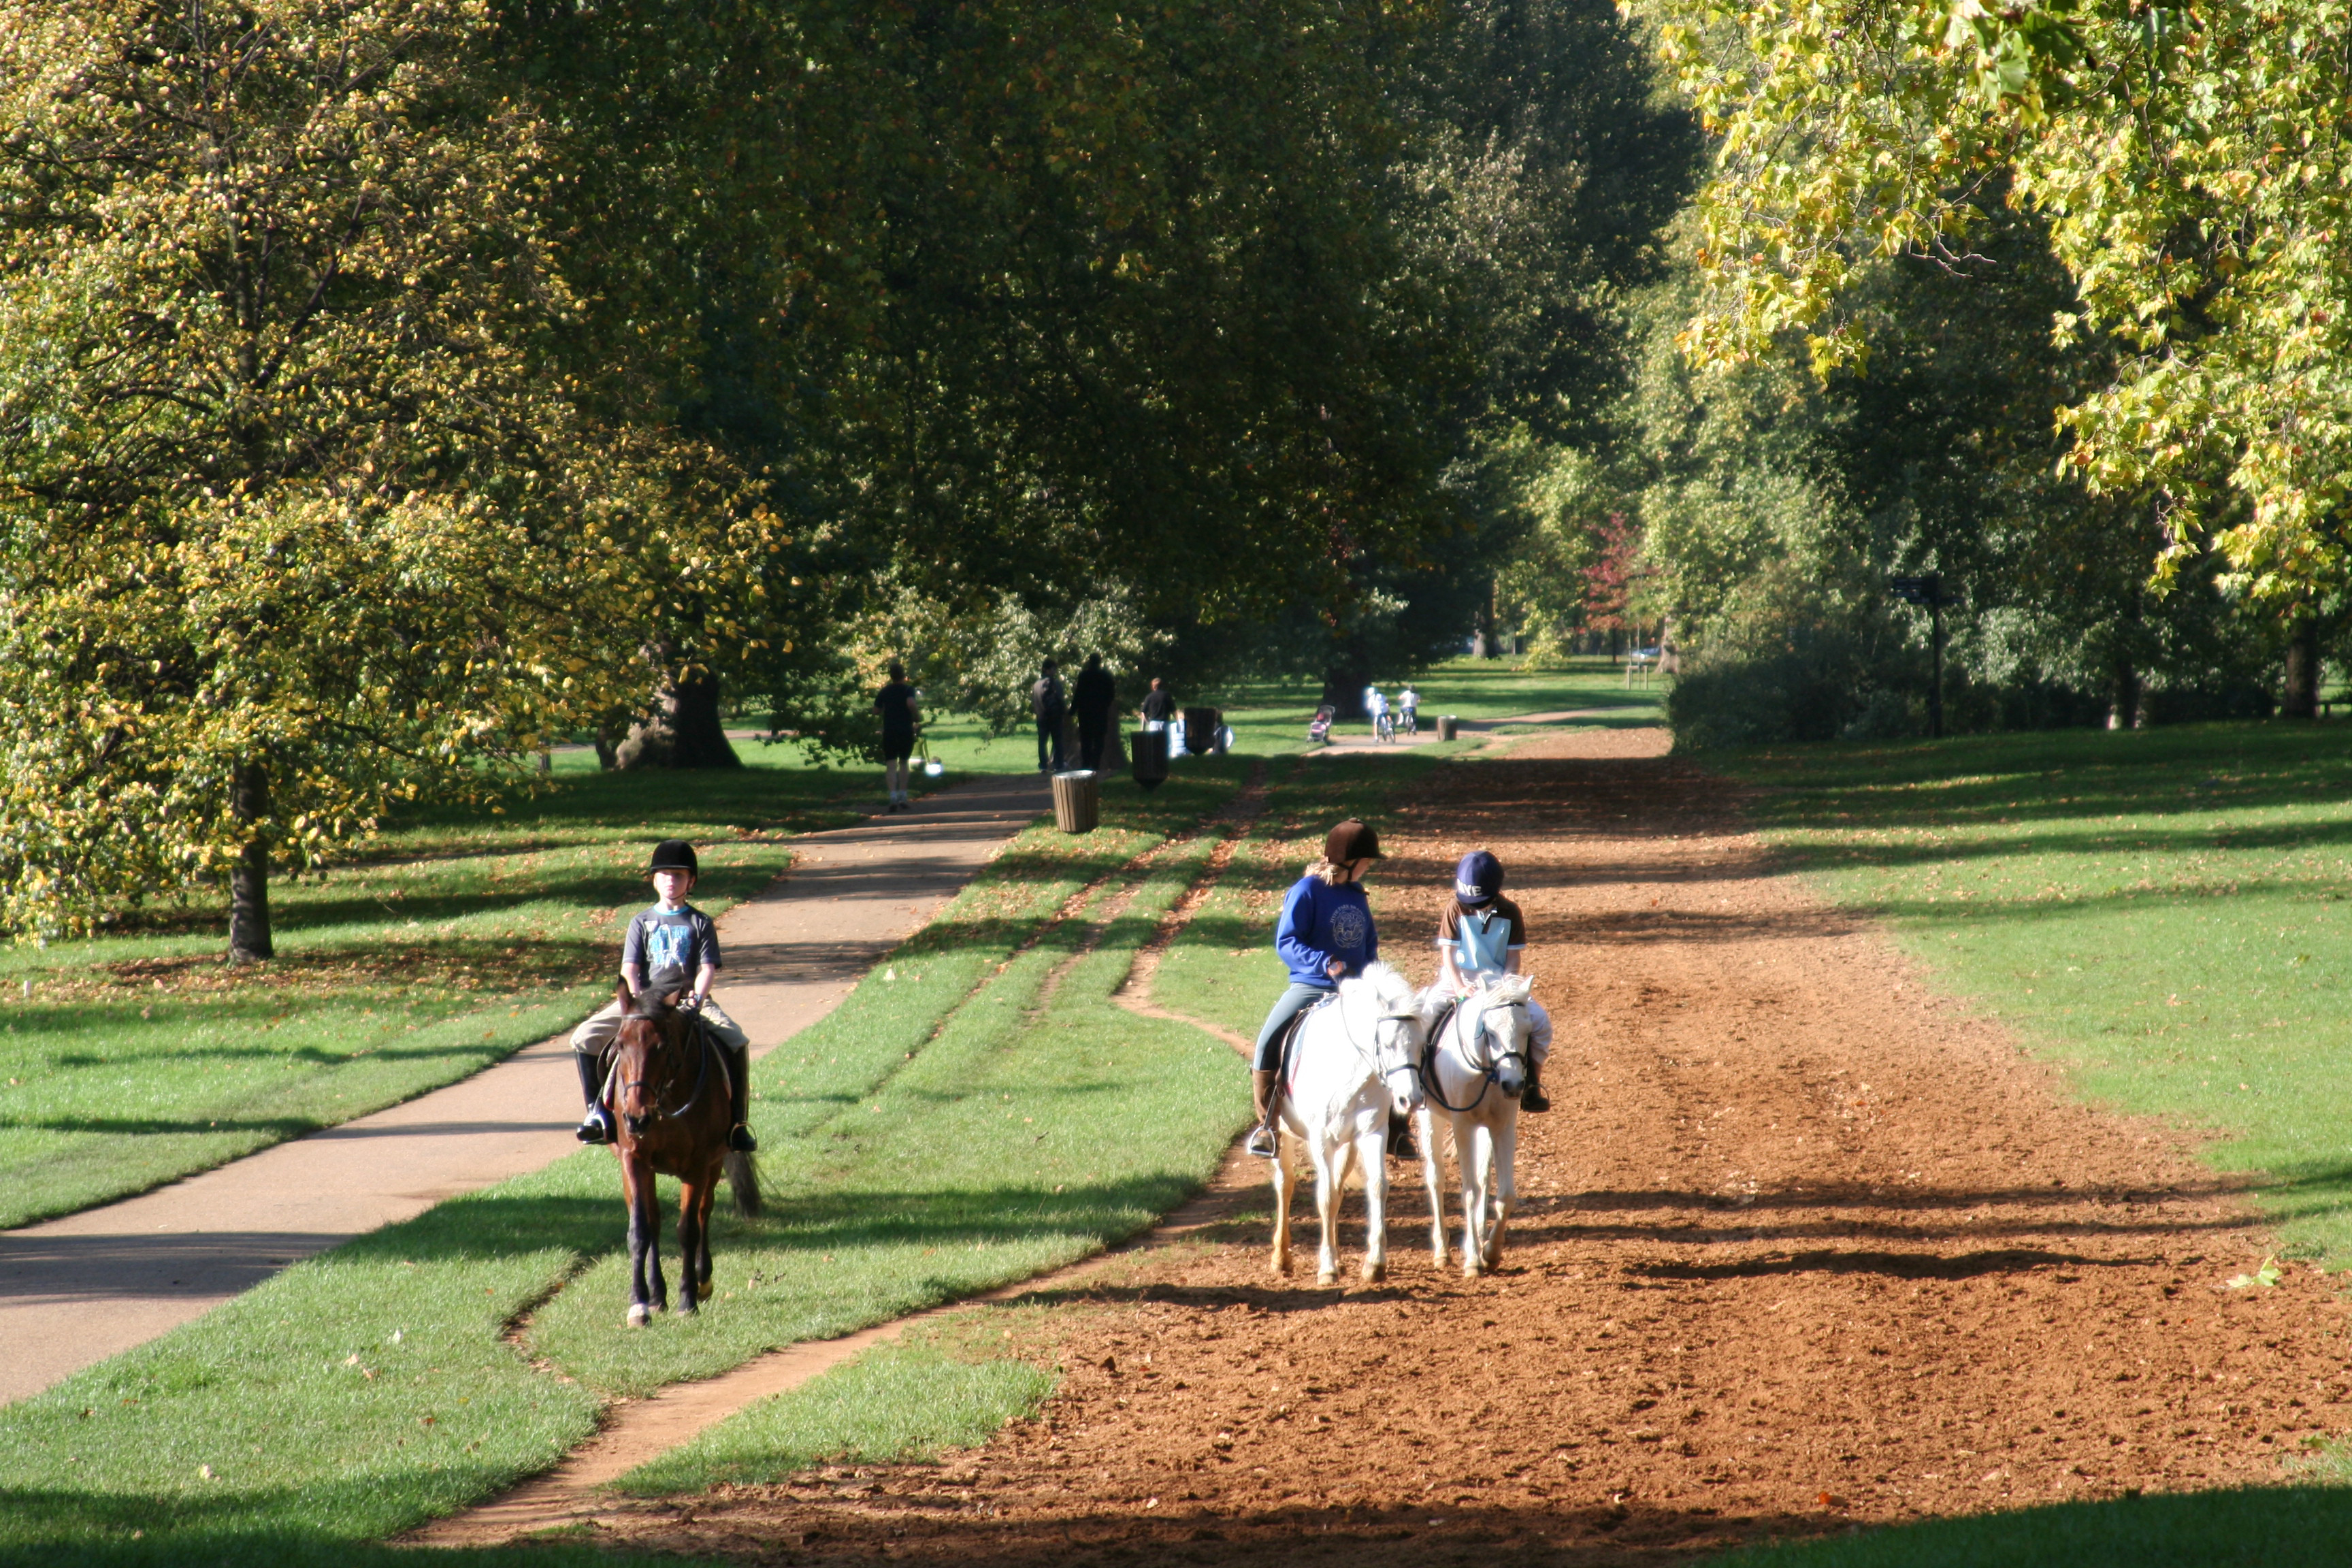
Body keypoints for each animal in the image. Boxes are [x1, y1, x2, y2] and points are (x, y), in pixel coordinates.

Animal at [606, 982, 762, 1326]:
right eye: (620, 1045)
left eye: (662, 1047)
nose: (636, 1118)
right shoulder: (634, 1160)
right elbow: (640, 1231)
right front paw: (639, 1304)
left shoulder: (698, 1165)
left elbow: (688, 1229)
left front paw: (688, 1299)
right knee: (652, 1221)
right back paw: (656, 1296)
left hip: (714, 1165)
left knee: (704, 1214)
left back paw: (702, 1282)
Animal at [1270, 968, 1430, 1288]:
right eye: (1388, 1044)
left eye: (1421, 1046)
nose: (1412, 1099)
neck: (1349, 1069)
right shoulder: (1320, 1139)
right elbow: (1325, 1196)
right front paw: (1326, 1268)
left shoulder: (1372, 1133)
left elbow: (1377, 1187)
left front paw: (1374, 1264)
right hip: (1284, 1135)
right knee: (1286, 1185)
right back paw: (1282, 1259)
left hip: (1347, 1145)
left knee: (1337, 1188)